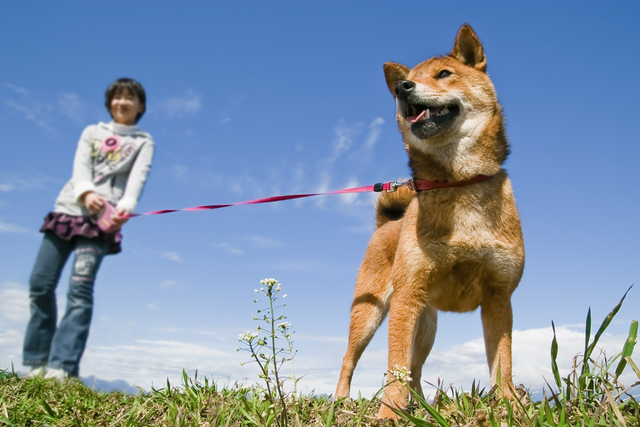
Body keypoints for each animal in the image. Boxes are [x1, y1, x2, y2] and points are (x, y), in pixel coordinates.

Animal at [336, 24, 524, 422]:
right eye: (404, 81)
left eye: (444, 74)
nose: (402, 87)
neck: (457, 182)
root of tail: (386, 225)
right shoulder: (407, 299)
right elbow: (394, 367)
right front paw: (390, 414)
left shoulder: (499, 298)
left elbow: (503, 363)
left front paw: (510, 406)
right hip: (372, 313)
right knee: (351, 359)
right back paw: (341, 400)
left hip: (425, 325)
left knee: (416, 367)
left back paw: (420, 406)